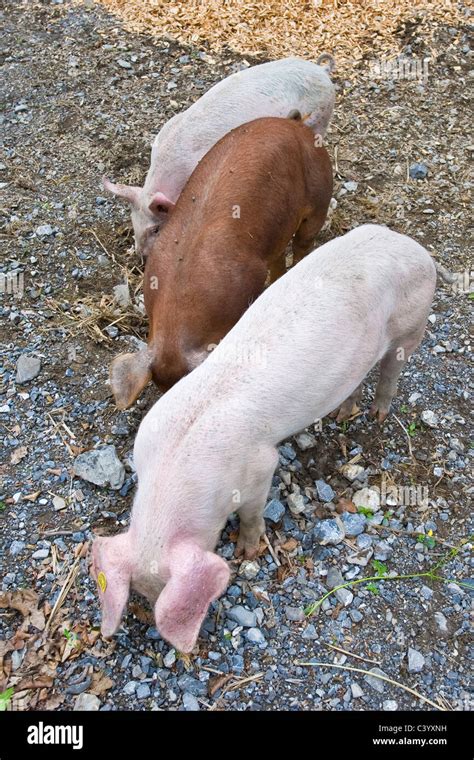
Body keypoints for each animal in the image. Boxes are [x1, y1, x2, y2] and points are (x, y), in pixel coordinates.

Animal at [92, 224, 437, 652]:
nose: (148, 610)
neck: (175, 471)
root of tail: (412, 246)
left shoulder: (259, 467)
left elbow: (254, 512)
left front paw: (247, 551)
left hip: (413, 324)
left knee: (392, 371)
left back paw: (377, 416)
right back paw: (342, 415)